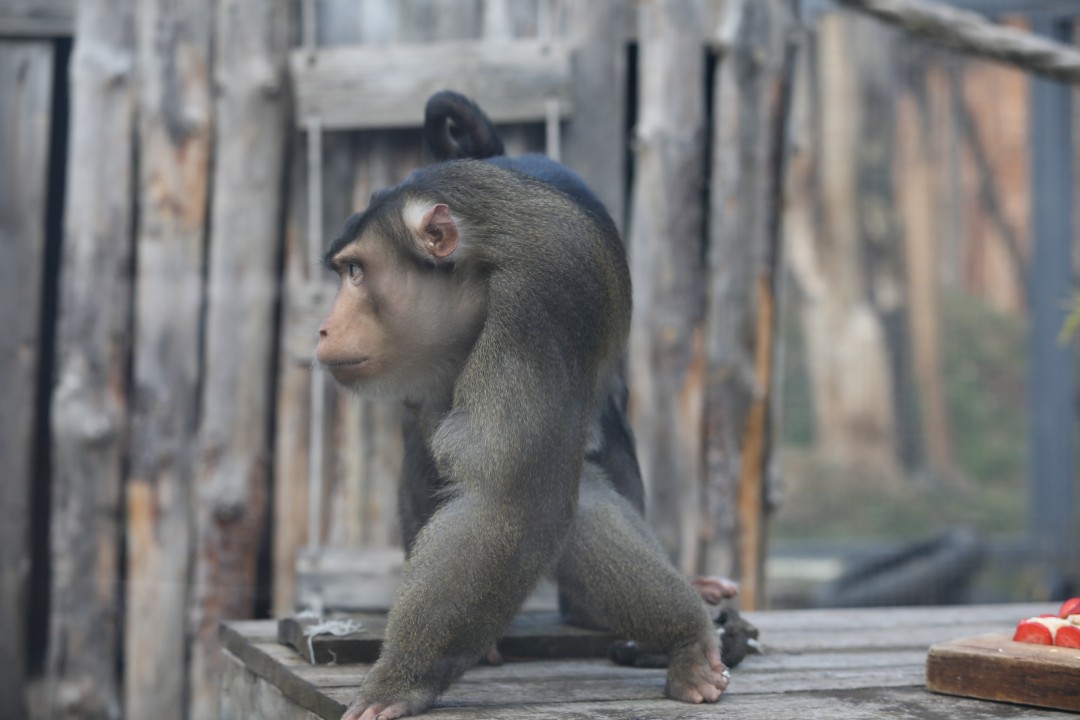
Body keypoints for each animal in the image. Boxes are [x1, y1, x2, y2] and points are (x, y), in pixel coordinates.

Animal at [315, 91, 730, 720]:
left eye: (358, 271)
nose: (322, 328)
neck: (476, 279)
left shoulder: (545, 298)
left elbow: (515, 500)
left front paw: (401, 681)